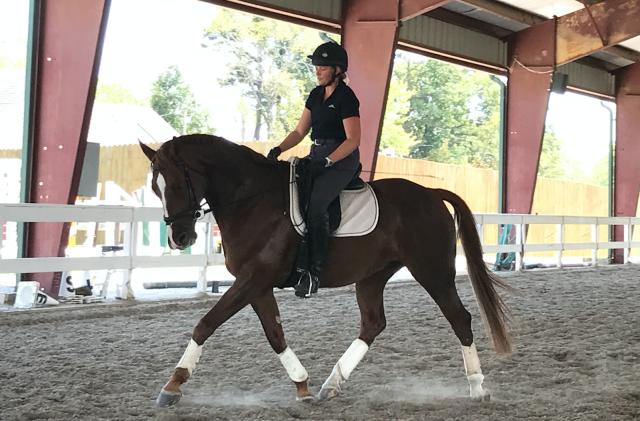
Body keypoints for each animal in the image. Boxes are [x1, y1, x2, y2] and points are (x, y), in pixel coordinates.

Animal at [138, 135, 512, 406]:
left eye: (177, 185)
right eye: (156, 188)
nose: (179, 238)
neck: (252, 199)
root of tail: (431, 192)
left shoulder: (253, 279)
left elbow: (206, 323)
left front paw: (173, 385)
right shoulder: (256, 284)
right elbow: (275, 335)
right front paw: (302, 386)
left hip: (432, 272)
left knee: (460, 319)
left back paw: (477, 388)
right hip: (373, 276)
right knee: (373, 324)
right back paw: (331, 384)